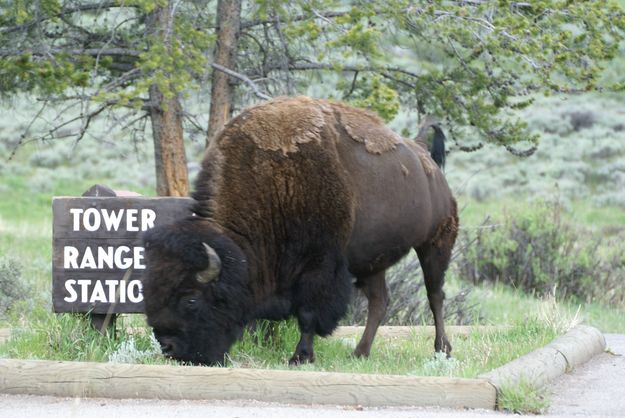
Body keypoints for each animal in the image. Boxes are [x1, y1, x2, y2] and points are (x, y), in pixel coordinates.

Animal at [143, 96, 458, 364]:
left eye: (191, 299)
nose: (168, 347)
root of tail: (421, 152)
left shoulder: (319, 265)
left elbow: (308, 313)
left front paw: (300, 356)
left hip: (436, 243)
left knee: (435, 296)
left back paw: (441, 350)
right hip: (372, 261)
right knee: (379, 301)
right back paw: (360, 352)